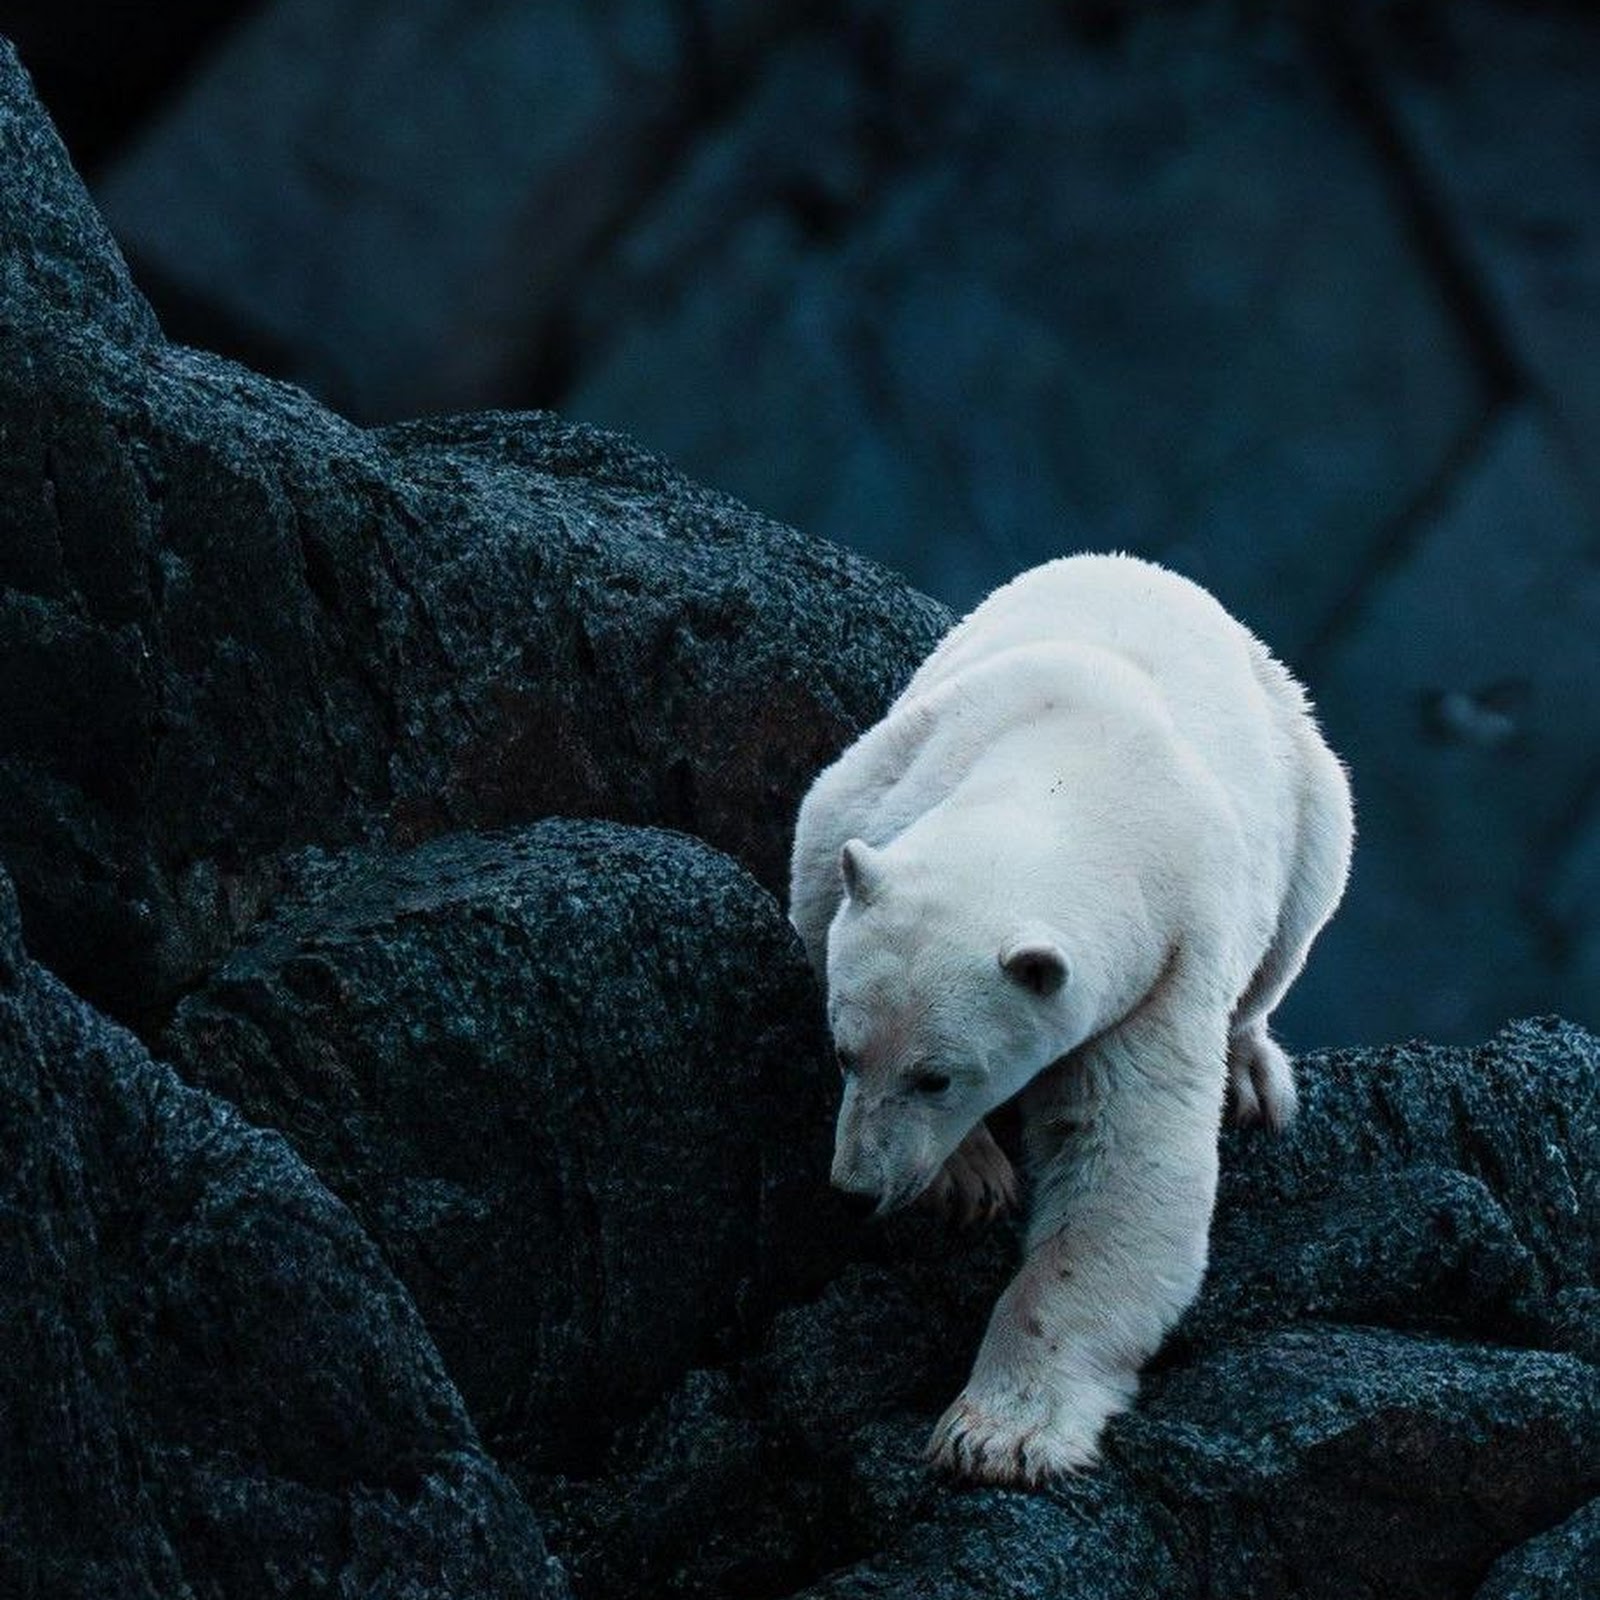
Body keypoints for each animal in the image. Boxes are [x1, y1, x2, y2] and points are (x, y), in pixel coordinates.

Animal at [788, 553, 1353, 1485]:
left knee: (1298, 915)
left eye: (937, 1077)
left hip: (1306, 785)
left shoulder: (1165, 967)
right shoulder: (871, 794)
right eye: (843, 1053)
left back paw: (1253, 1074)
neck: (1077, 767)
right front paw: (971, 1176)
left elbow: (1123, 1163)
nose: (857, 1188)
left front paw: (996, 1435)